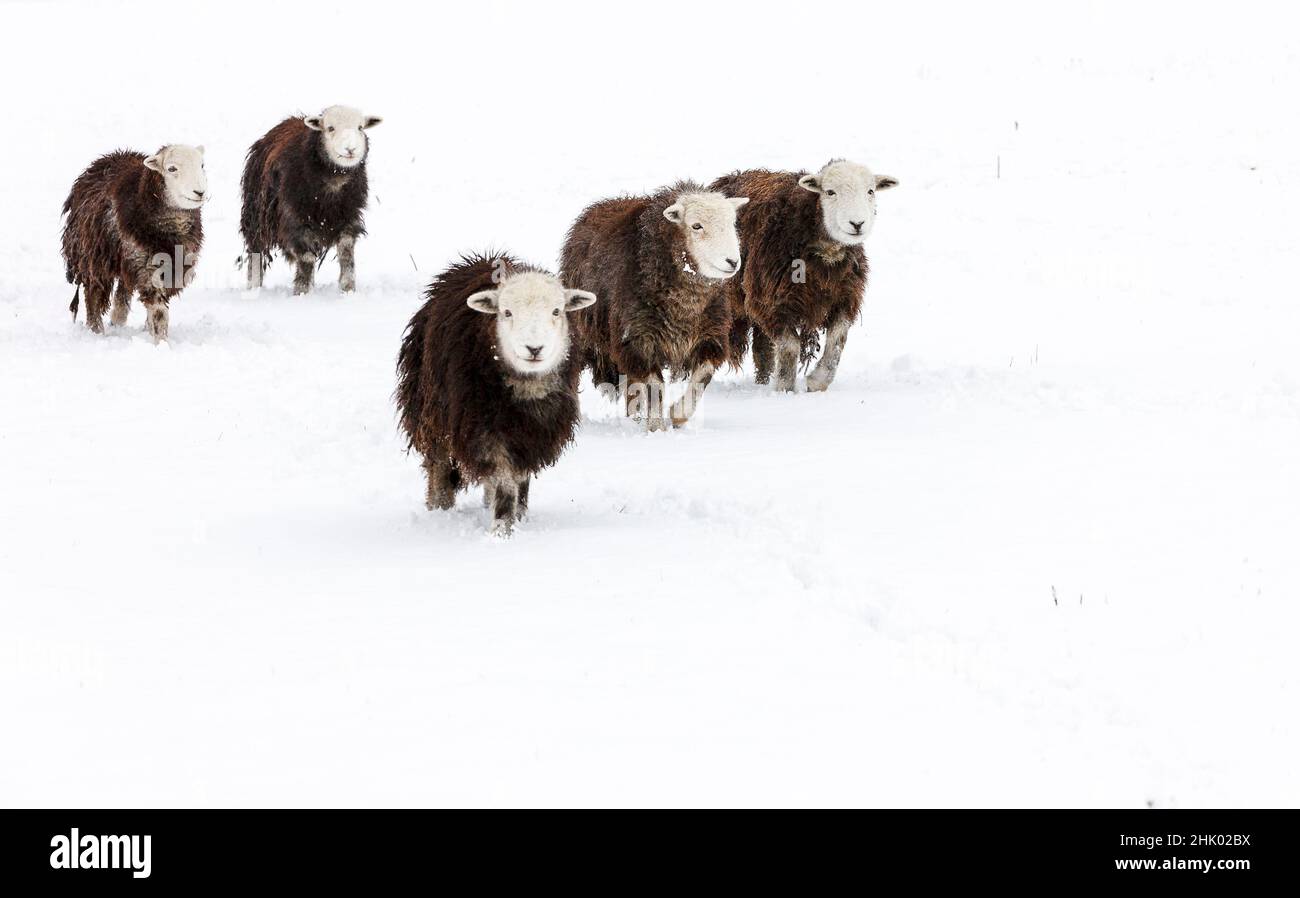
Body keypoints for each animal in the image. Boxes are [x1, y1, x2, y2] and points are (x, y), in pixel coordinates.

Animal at [61, 145, 208, 343]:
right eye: (171, 169)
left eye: (202, 165)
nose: (200, 192)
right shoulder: (146, 265)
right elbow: (159, 311)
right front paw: (161, 342)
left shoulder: (174, 266)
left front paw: (151, 331)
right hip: (93, 255)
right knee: (93, 293)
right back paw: (96, 330)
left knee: (123, 287)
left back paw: (118, 318)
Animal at [239, 105, 379, 295]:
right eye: (330, 128)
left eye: (360, 127)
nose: (350, 149)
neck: (334, 181)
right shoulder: (296, 217)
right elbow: (306, 257)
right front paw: (302, 292)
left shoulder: (349, 215)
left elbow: (346, 251)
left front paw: (348, 288)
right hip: (256, 217)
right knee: (256, 252)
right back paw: (253, 289)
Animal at [395, 249, 598, 538]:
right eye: (507, 312)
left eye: (557, 311)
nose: (534, 349)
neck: (525, 386)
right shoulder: (484, 430)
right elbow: (503, 480)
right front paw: (501, 530)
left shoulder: (534, 433)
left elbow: (519, 480)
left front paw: (518, 516)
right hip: (430, 410)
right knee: (438, 463)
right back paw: (440, 507)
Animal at [712, 159, 894, 392]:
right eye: (830, 192)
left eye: (870, 191)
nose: (857, 224)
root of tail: (730, 177)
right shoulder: (773, 302)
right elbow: (790, 347)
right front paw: (785, 389)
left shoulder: (844, 298)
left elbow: (837, 342)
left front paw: (817, 381)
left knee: (762, 350)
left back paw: (763, 380)